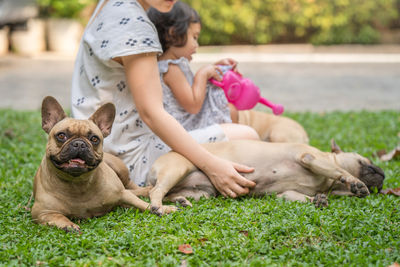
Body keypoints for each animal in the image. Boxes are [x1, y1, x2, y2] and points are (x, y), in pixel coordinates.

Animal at [31, 97, 175, 232]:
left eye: (94, 139)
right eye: (61, 136)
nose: (79, 143)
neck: (77, 183)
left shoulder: (123, 194)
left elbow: (144, 205)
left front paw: (162, 209)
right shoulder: (41, 212)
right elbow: (58, 217)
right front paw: (69, 225)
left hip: (120, 170)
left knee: (131, 187)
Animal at [147, 139, 384, 215]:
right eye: (365, 161)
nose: (383, 173)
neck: (330, 185)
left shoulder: (286, 194)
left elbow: (299, 196)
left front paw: (317, 200)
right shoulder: (311, 158)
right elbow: (340, 171)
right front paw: (355, 183)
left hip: (202, 193)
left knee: (167, 193)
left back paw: (179, 201)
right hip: (176, 169)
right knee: (156, 192)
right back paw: (159, 208)